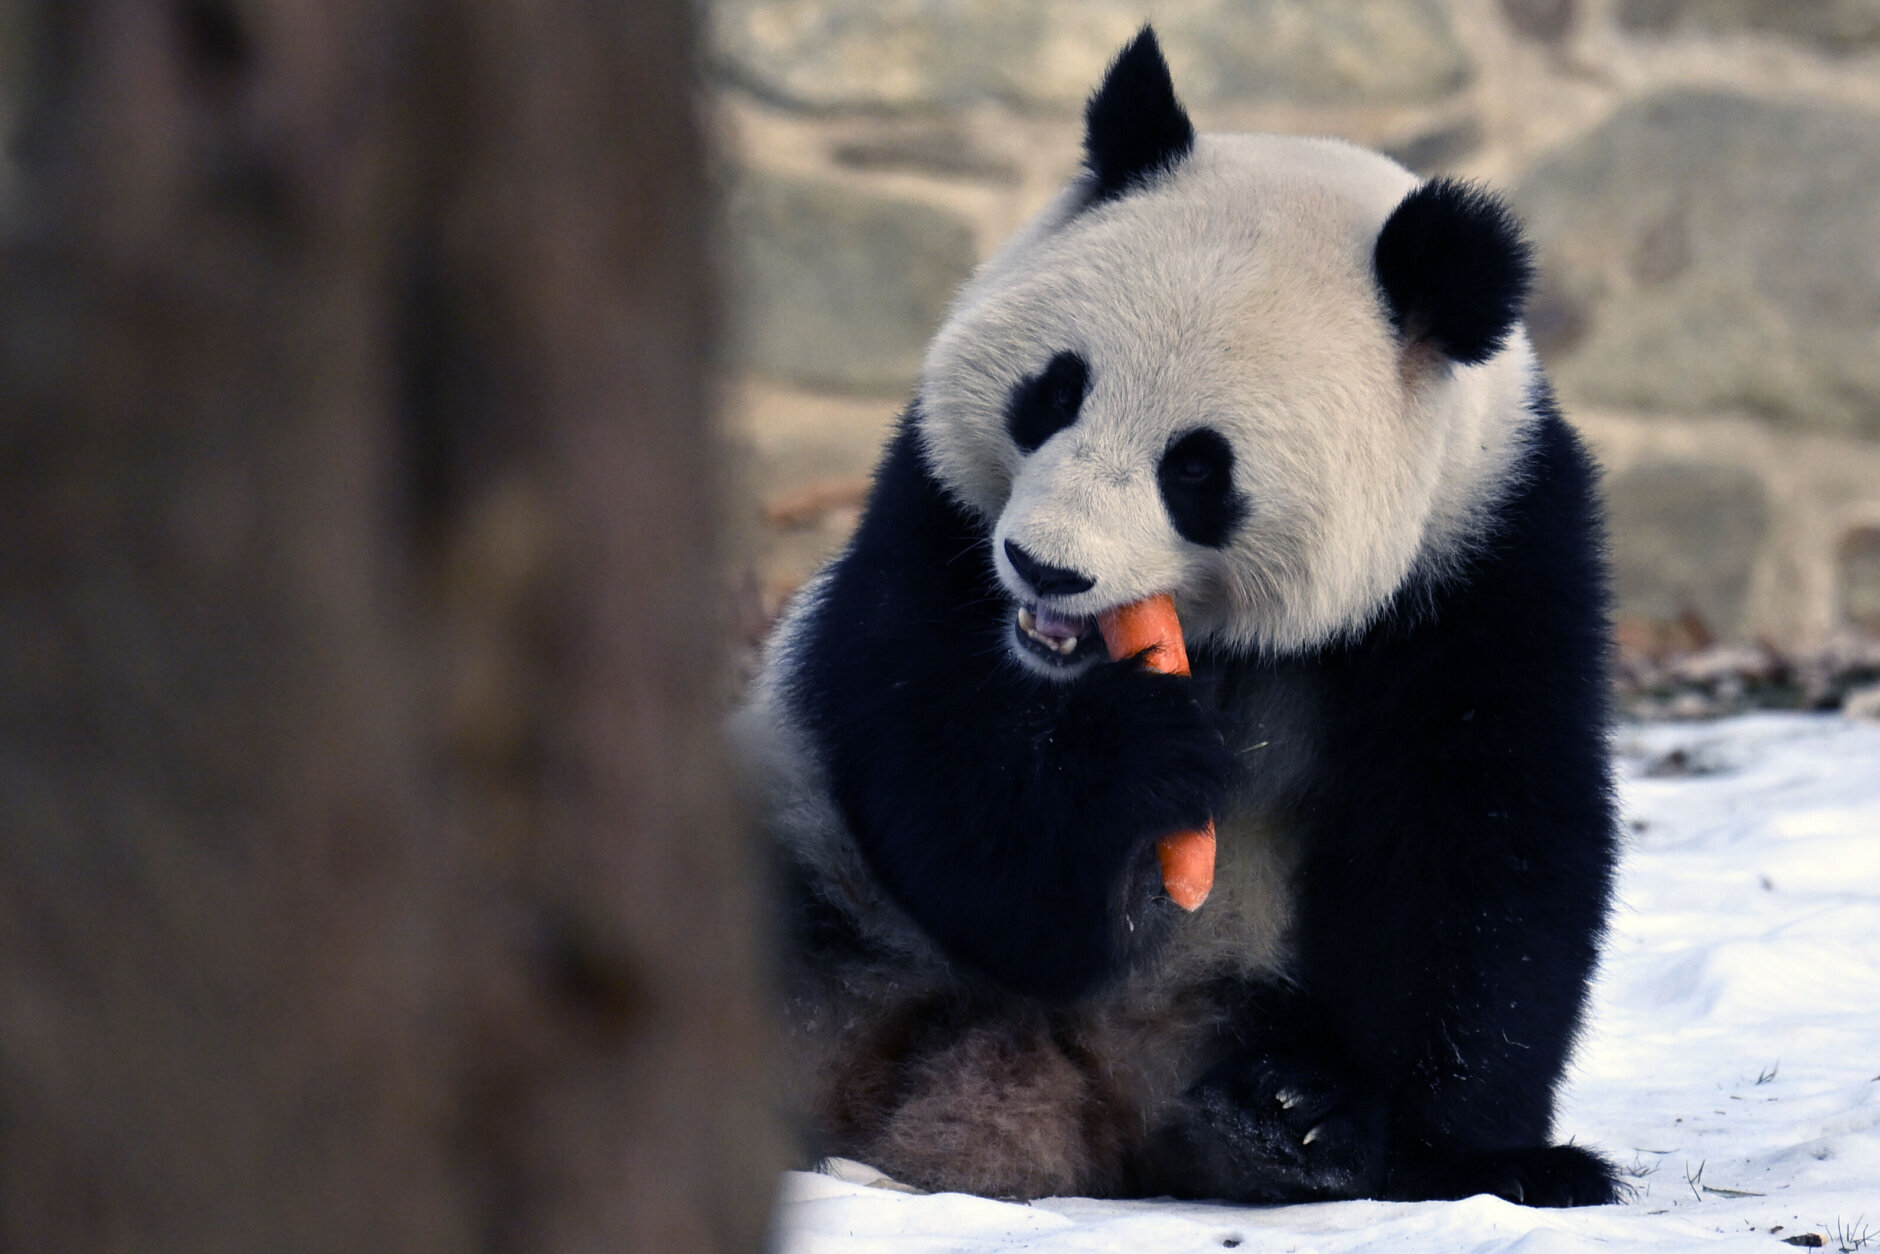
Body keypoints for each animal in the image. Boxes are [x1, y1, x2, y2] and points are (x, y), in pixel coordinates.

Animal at [733, 27, 1616, 1203]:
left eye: (1197, 469)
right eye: (1052, 393)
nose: (1044, 569)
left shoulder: (1484, 554)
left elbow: (1488, 831)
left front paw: (1465, 1153)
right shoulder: (933, 515)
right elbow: (940, 781)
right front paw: (1141, 759)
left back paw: (1282, 1119)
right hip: (813, 871)